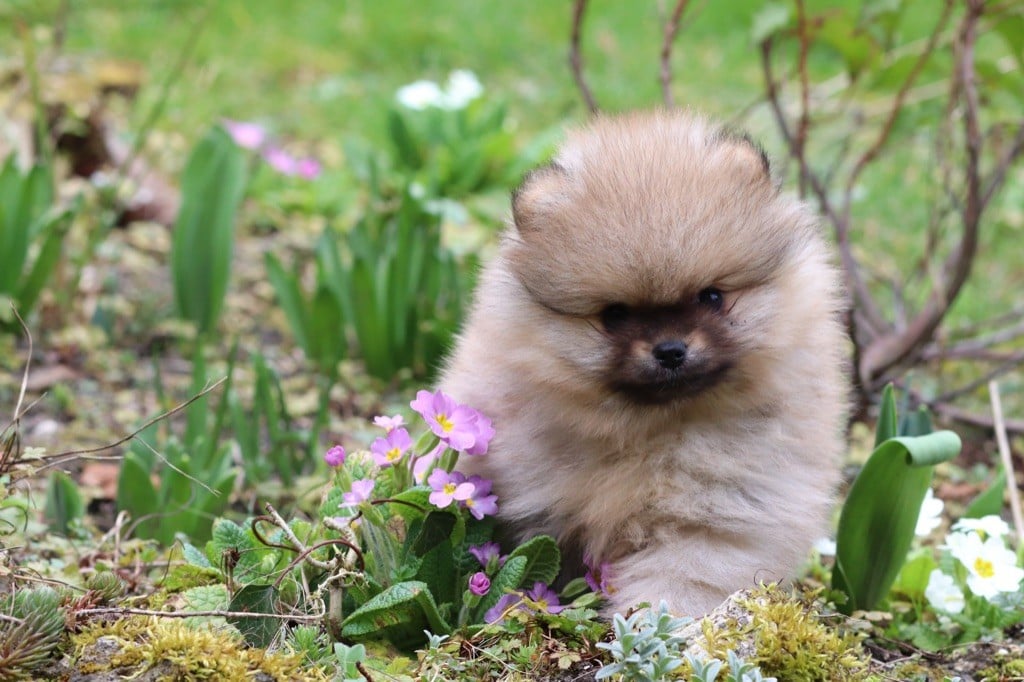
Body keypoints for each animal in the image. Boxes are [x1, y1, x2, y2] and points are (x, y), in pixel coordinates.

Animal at [440, 111, 847, 614]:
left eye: (711, 296)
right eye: (615, 315)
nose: (670, 350)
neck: (653, 431)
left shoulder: (724, 510)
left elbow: (685, 571)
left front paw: (652, 619)